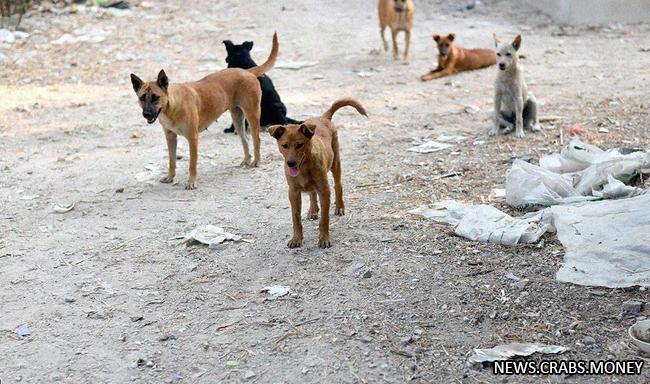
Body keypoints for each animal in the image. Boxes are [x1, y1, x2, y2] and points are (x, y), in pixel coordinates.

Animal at [130, 33, 278, 189]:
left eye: (155, 97)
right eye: (142, 98)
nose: (146, 114)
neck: (172, 106)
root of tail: (247, 71)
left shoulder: (193, 138)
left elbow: (192, 164)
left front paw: (191, 182)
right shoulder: (170, 137)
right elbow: (171, 160)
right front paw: (170, 177)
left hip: (252, 114)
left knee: (256, 139)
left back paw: (256, 161)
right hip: (237, 118)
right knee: (245, 140)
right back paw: (247, 160)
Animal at [268, 98, 368, 249]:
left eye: (299, 145)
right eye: (284, 145)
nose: (290, 163)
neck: (304, 167)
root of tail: (323, 117)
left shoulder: (324, 190)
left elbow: (324, 219)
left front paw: (324, 239)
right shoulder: (293, 192)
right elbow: (296, 218)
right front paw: (296, 238)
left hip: (335, 164)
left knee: (338, 186)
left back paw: (339, 207)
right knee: (312, 193)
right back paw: (313, 210)